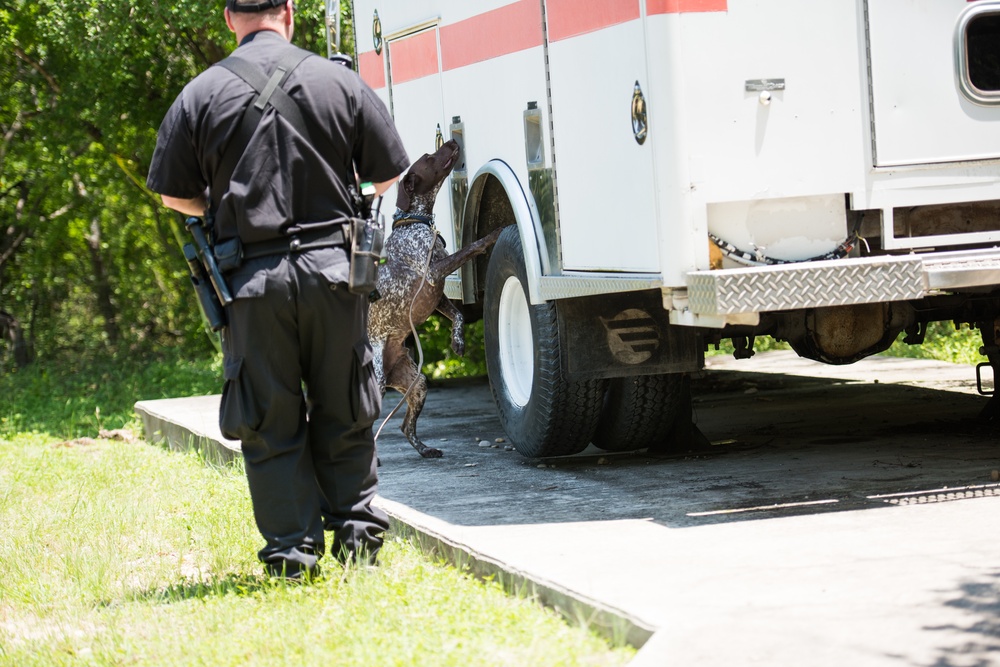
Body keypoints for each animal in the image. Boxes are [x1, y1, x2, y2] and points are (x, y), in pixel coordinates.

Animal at [370, 138, 504, 456]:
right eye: (428, 157)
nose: (453, 141)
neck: (414, 222)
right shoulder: (434, 272)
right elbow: (471, 247)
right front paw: (492, 236)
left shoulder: (437, 291)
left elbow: (457, 315)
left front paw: (458, 342)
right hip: (378, 385)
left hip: (417, 383)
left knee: (405, 427)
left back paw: (424, 449)